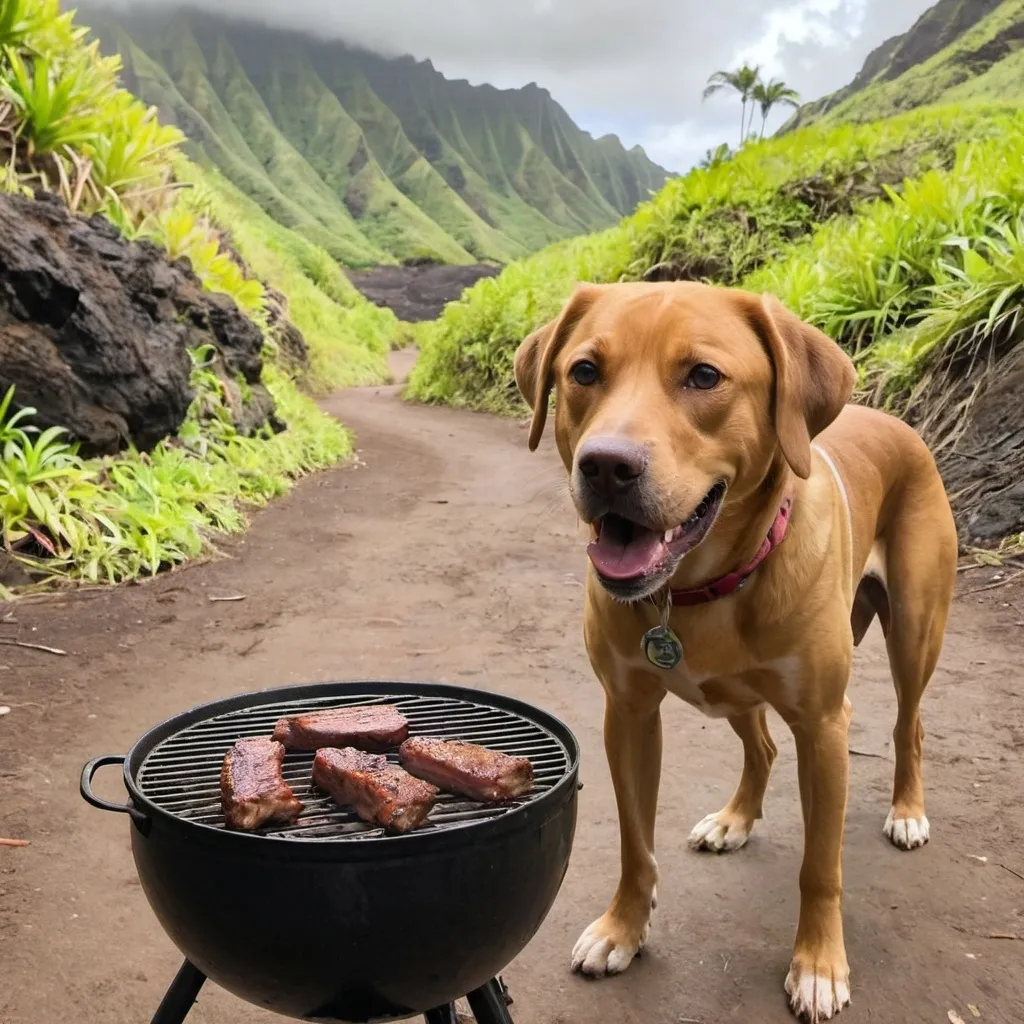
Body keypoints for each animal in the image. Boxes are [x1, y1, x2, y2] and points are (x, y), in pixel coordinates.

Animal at [512, 276, 958, 1019]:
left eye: (703, 376)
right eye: (584, 372)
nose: (605, 466)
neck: (698, 589)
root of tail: (898, 423)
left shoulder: (824, 726)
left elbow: (820, 867)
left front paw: (818, 965)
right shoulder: (627, 714)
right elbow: (635, 842)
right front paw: (622, 930)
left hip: (916, 632)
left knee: (910, 725)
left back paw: (907, 810)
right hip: (734, 692)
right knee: (764, 746)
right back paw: (735, 820)